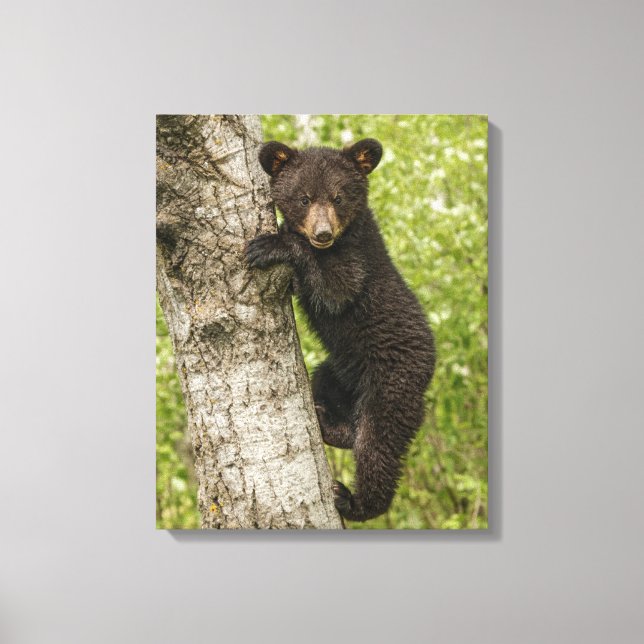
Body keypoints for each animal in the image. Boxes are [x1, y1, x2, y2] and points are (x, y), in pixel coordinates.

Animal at [246, 137, 436, 522]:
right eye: (304, 198)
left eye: (338, 197)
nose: (322, 233)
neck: (345, 236)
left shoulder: (358, 261)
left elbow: (336, 288)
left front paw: (271, 244)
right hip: (339, 371)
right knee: (330, 393)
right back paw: (328, 422)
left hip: (391, 385)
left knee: (378, 446)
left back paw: (354, 501)